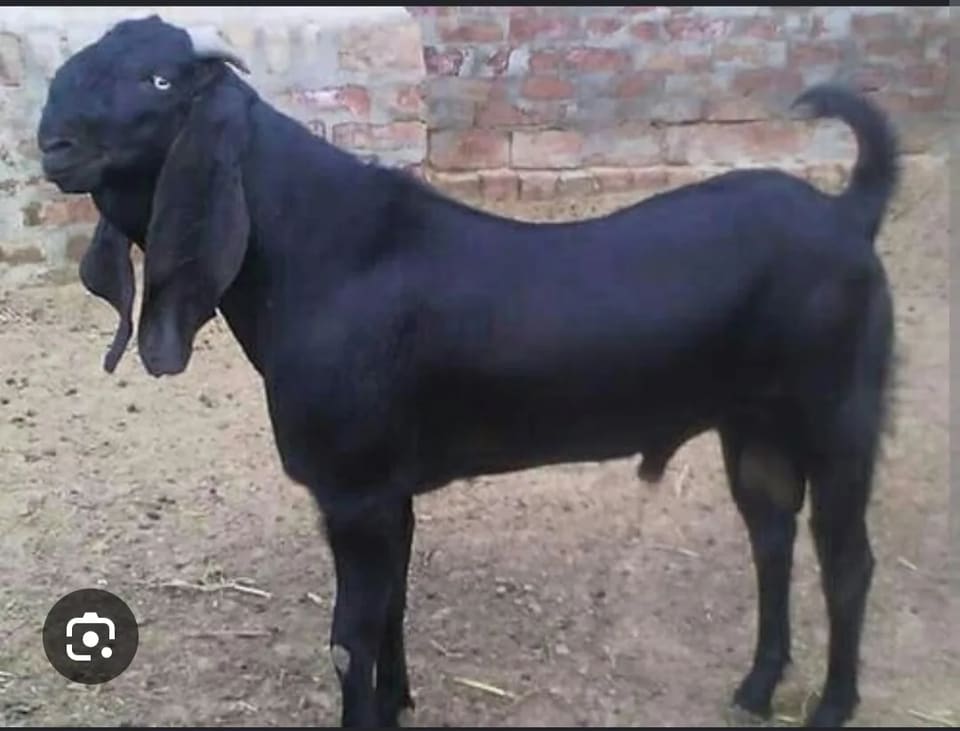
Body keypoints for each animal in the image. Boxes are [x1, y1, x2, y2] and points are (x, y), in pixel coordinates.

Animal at [36, 15, 898, 728]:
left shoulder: (353, 489)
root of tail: (847, 214)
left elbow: (350, 635)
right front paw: (398, 701)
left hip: (839, 413)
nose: (53, 144)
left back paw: (830, 705)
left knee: (847, 559)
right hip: (754, 424)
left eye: (158, 81)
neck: (324, 252)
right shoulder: (386, 492)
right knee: (773, 536)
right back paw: (756, 687)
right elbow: (391, 607)